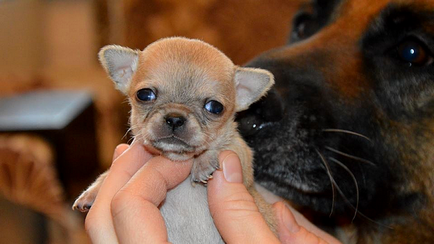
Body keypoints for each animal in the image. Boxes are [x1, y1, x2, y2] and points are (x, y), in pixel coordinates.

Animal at [71, 36, 274, 242]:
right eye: (144, 95)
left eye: (215, 107)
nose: (175, 118)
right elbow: (109, 173)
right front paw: (93, 190)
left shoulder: (242, 156)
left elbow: (226, 147)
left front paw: (203, 161)